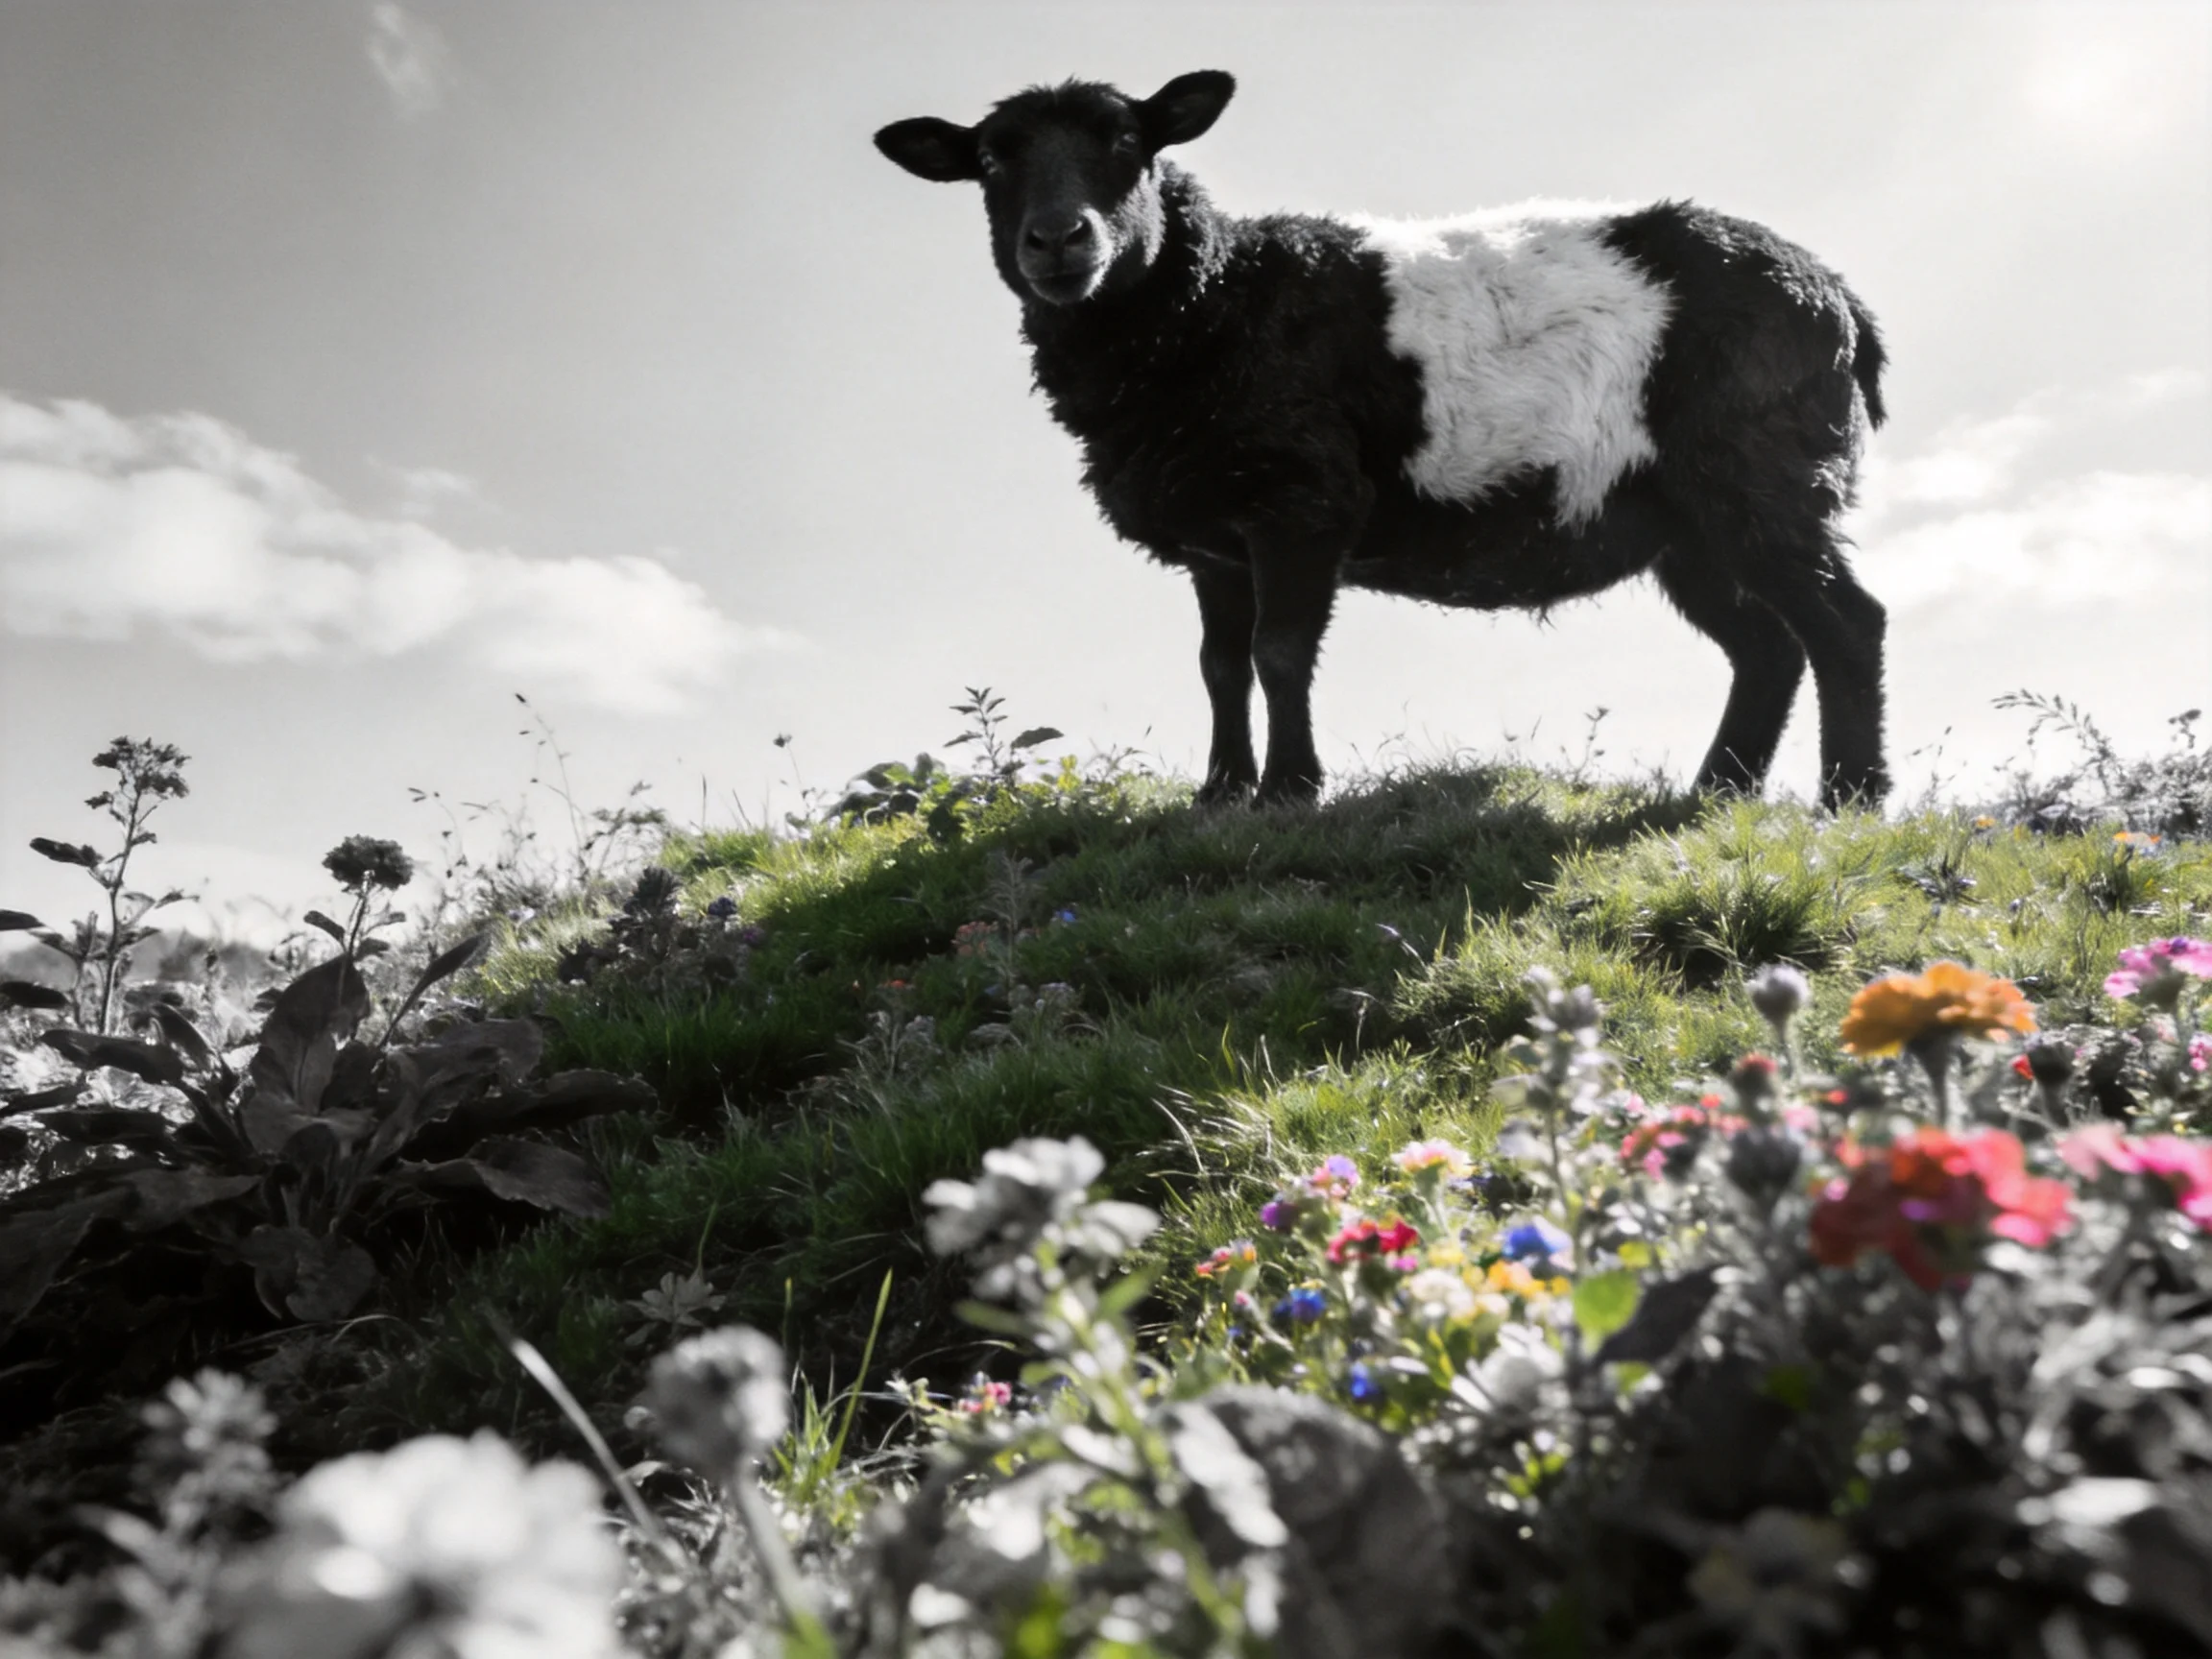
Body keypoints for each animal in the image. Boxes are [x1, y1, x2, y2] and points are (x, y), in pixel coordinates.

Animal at [875, 71, 1890, 808]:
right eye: (990, 161)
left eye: (1127, 143)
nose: (1058, 239)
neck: (1210, 304)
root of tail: (1842, 299)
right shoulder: (1216, 536)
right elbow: (1218, 666)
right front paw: (1219, 794)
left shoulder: (1299, 502)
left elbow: (1280, 651)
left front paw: (1290, 791)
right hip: (1687, 523)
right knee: (1769, 648)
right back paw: (1717, 792)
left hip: (1762, 474)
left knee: (1846, 624)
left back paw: (1850, 798)